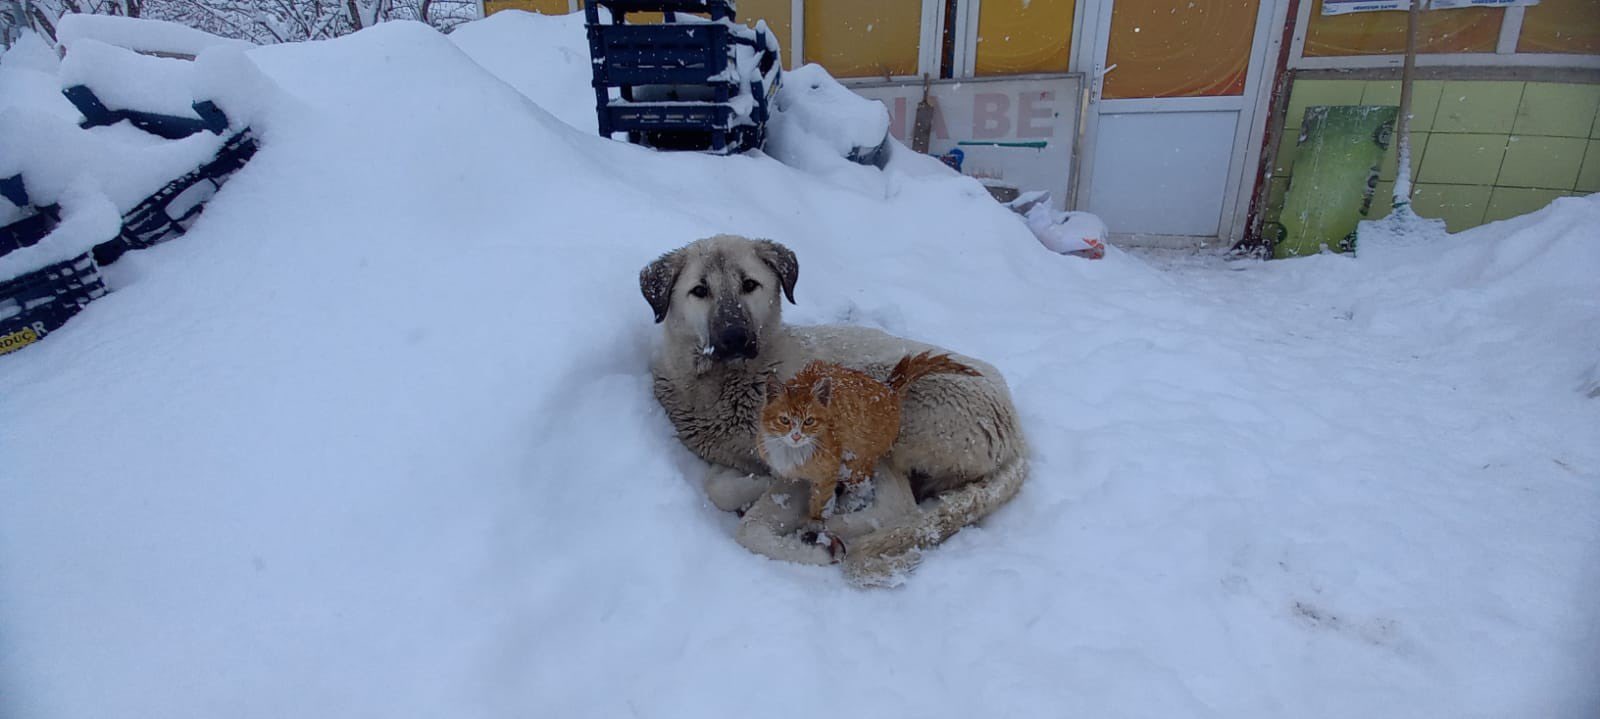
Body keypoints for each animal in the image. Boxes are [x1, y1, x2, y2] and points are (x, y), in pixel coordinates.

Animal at [755, 352, 979, 525]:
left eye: (809, 421)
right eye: (784, 420)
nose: (796, 435)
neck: (792, 453)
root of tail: (889, 389)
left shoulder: (828, 473)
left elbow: (820, 503)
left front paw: (815, 521)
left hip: (854, 461)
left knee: (864, 487)